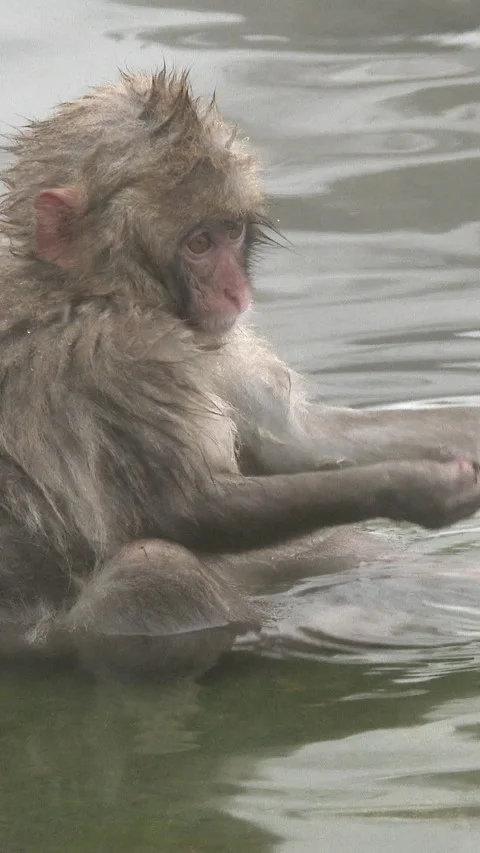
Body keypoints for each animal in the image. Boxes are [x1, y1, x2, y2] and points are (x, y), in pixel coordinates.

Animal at [1, 69, 480, 679]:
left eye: (231, 233)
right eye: (198, 244)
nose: (235, 290)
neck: (88, 292)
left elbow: (300, 441)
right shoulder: (111, 360)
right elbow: (185, 509)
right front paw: (419, 486)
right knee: (154, 573)